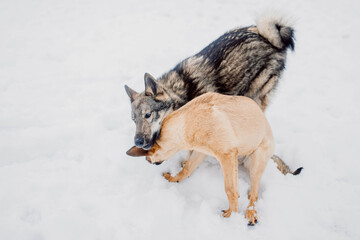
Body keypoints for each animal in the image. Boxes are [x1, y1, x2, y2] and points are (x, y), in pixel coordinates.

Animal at [126, 92, 300, 225]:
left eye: (149, 161)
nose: (149, 162)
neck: (186, 123)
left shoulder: (226, 155)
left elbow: (230, 190)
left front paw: (232, 215)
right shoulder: (201, 152)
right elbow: (187, 169)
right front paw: (174, 178)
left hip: (257, 160)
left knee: (254, 194)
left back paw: (251, 212)